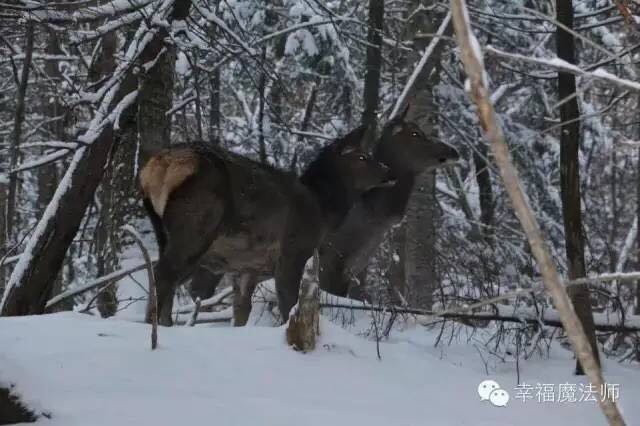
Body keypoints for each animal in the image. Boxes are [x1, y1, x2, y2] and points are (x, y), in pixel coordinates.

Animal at [140, 126, 390, 326]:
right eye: (362, 157)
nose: (388, 172)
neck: (323, 213)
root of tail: (160, 164)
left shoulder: (247, 268)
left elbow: (242, 311)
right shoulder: (294, 251)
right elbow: (288, 302)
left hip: (163, 231)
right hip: (197, 226)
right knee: (163, 273)